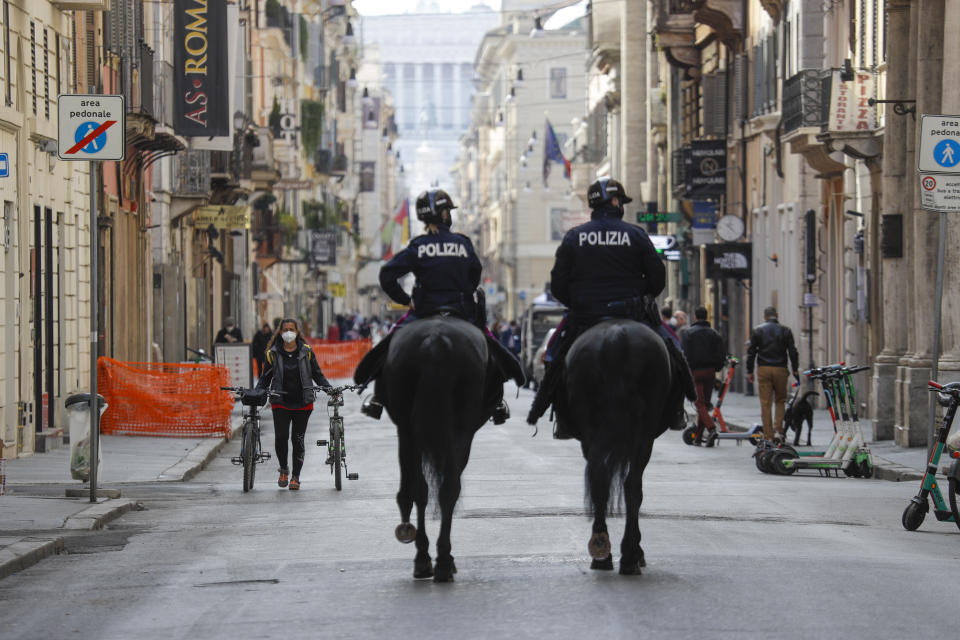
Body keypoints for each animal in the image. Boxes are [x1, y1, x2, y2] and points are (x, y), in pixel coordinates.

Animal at [370, 316, 502, 580]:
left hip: (411, 429)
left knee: (421, 488)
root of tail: (436, 341)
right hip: (458, 427)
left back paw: (425, 558)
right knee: (447, 488)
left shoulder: (407, 430)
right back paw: (442, 560)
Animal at [560, 320, 680, 576]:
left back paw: (601, 551)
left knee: (601, 480)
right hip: (644, 432)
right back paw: (630, 555)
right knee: (632, 485)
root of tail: (616, 338)